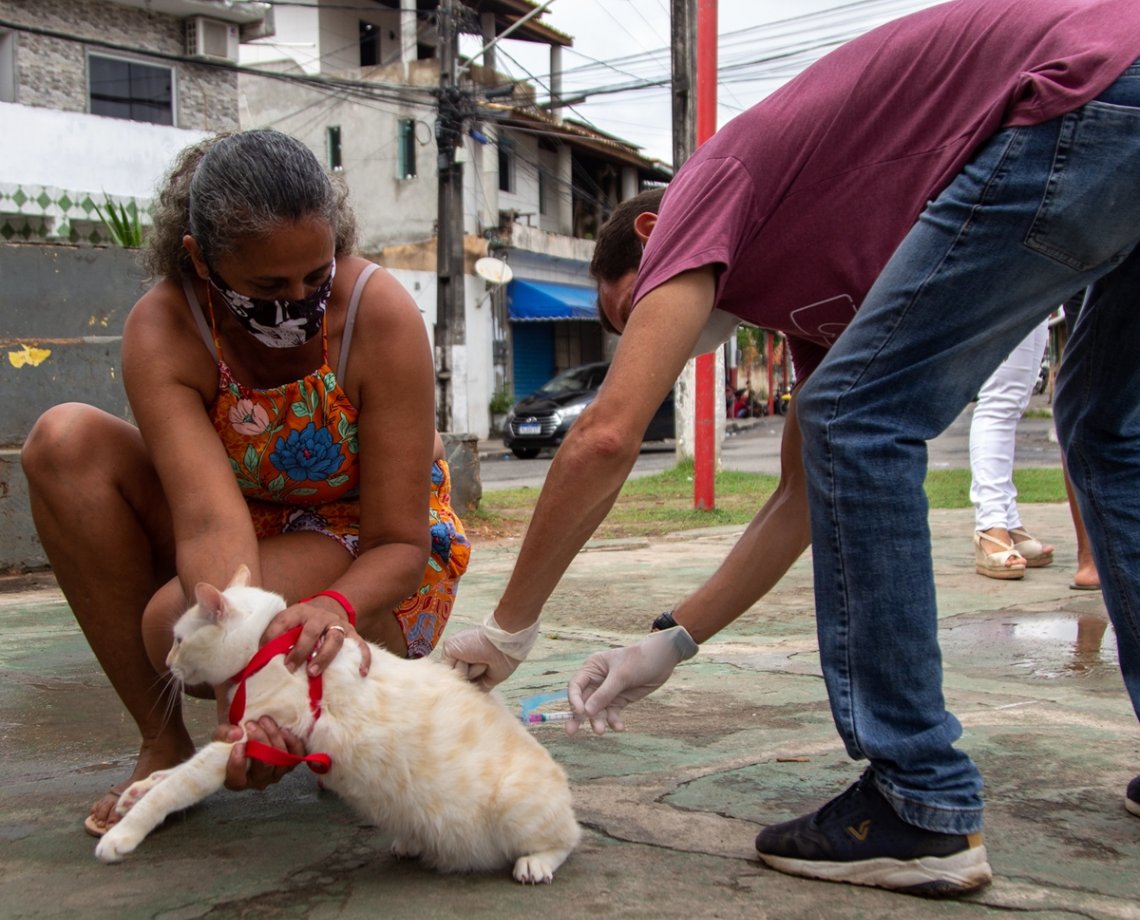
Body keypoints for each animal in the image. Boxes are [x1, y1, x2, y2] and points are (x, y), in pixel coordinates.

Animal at [95, 567, 579, 884]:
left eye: (179, 639)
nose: (167, 662)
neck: (267, 649)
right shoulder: (239, 738)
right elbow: (171, 775)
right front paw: (137, 790)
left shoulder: (245, 738)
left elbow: (177, 786)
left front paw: (124, 833)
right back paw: (413, 843)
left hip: (518, 806)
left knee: (567, 840)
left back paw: (535, 863)